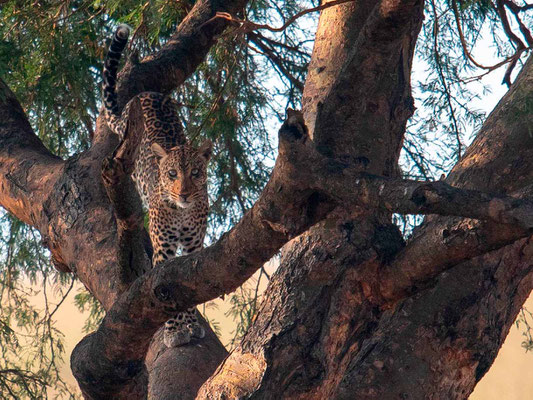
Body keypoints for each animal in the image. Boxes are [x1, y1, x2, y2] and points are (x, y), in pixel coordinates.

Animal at [101, 25, 211, 348]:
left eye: (196, 173)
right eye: (171, 174)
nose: (184, 193)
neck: (182, 211)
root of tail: (141, 94)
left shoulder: (193, 247)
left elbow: (188, 294)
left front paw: (190, 325)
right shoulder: (164, 249)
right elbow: (165, 294)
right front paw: (175, 331)